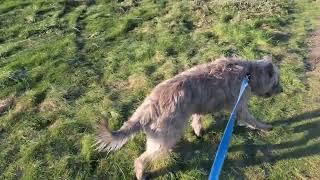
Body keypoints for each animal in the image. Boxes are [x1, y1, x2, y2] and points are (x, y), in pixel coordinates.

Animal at [95, 56, 282, 180]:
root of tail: (149, 106)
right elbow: (252, 120)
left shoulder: (198, 105)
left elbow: (197, 118)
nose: (282, 90)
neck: (248, 73)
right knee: (141, 159)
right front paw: (266, 127)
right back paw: (141, 173)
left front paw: (198, 130)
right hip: (166, 137)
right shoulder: (240, 106)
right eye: (276, 81)